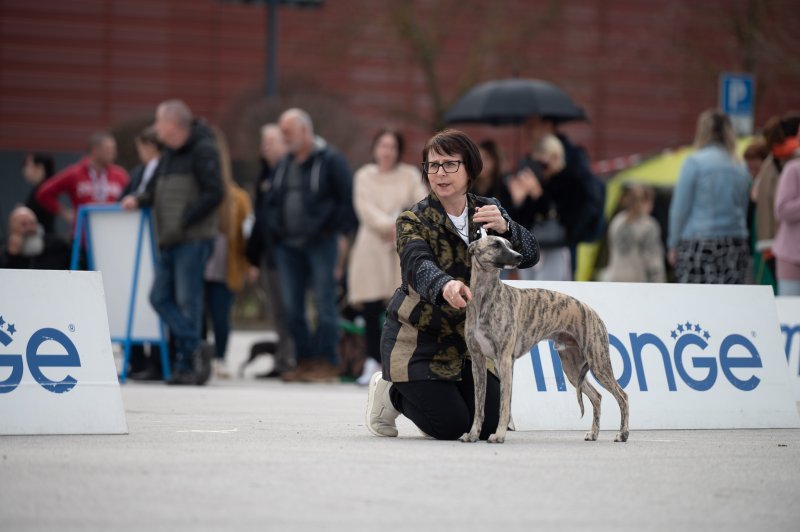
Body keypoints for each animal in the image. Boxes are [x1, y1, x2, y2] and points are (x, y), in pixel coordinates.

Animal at [460, 231, 628, 442]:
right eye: (495, 244)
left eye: (510, 244)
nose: (519, 257)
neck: (485, 298)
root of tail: (592, 312)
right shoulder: (478, 361)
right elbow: (479, 406)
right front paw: (473, 434)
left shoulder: (504, 359)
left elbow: (504, 404)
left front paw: (498, 435)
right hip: (572, 368)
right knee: (597, 396)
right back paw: (594, 433)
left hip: (599, 363)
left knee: (622, 396)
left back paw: (623, 434)